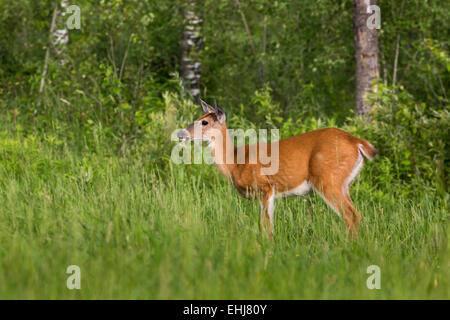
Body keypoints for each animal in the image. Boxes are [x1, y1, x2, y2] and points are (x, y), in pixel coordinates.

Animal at [178, 100, 378, 238]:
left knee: (350, 215)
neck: (235, 162)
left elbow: (266, 225)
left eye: (204, 122)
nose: (181, 133)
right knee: (355, 215)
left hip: (328, 179)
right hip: (344, 183)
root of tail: (358, 142)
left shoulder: (265, 187)